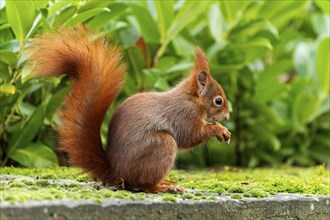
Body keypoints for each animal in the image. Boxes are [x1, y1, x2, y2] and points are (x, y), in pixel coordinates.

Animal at [27, 26, 231, 193]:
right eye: (218, 101)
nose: (228, 116)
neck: (192, 99)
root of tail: (116, 173)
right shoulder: (185, 115)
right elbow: (191, 136)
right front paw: (219, 130)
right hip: (161, 145)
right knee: (143, 184)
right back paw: (162, 186)